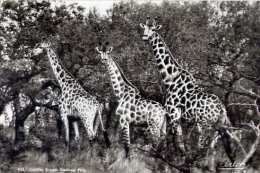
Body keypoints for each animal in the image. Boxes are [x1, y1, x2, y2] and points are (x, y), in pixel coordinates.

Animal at [140, 15, 234, 151]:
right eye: (145, 28)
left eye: (153, 29)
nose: (144, 37)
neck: (170, 77)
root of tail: (222, 109)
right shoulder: (179, 117)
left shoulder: (174, 113)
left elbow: (179, 144)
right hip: (215, 129)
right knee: (210, 149)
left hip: (206, 125)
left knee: (203, 147)